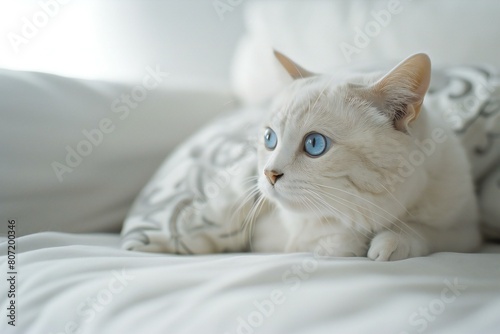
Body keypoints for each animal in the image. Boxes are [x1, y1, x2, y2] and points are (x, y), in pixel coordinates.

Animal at [252, 51, 482, 260]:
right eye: (269, 138)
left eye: (314, 144)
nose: (269, 173)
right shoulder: (270, 233)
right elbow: (315, 237)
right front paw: (349, 242)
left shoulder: (466, 231)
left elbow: (421, 230)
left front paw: (391, 242)